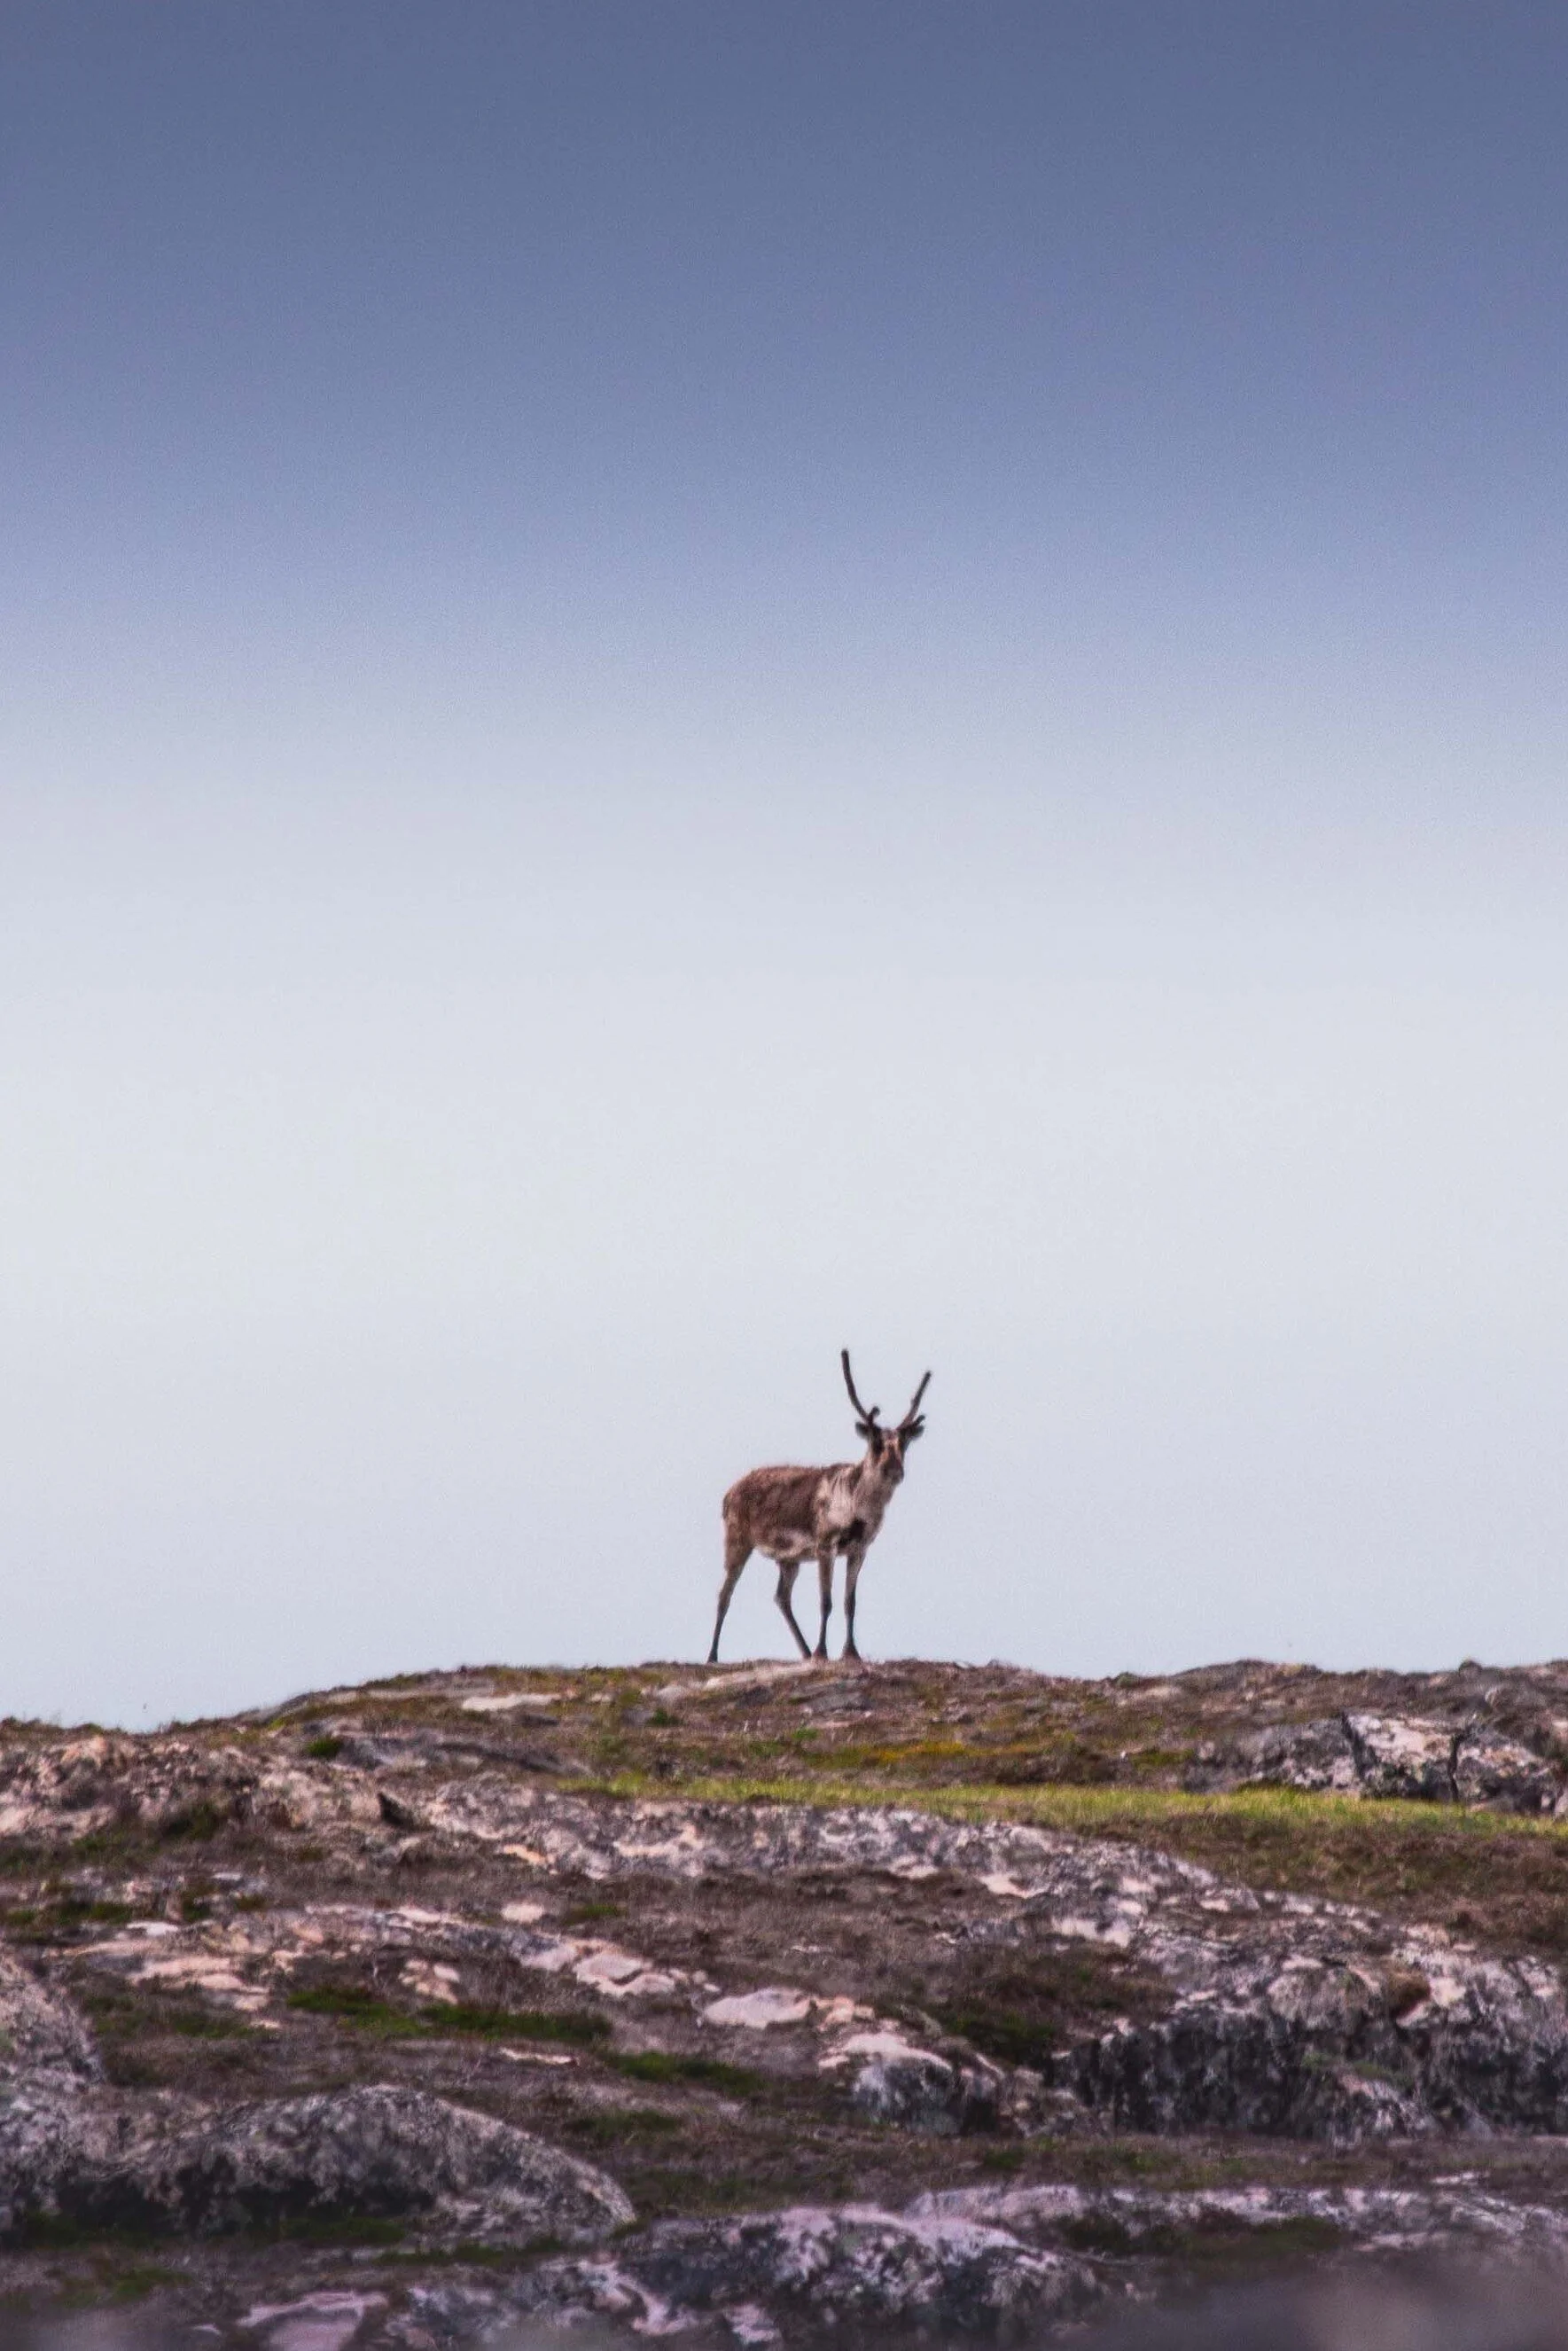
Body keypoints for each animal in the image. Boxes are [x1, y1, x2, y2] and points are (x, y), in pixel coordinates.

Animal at [707, 1351, 931, 1666]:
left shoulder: (859, 1549)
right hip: (738, 1539)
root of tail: (728, 1493)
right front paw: (822, 1651)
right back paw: (713, 1655)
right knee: (725, 1593)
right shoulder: (826, 1545)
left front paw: (851, 1652)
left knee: (781, 1596)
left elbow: (850, 1602)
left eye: (904, 1445)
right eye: (875, 1443)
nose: (895, 1472)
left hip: (789, 1558)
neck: (858, 1507)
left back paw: (803, 1651)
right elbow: (826, 1601)